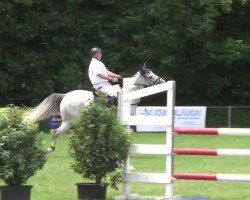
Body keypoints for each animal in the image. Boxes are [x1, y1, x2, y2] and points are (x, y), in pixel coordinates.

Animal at [26, 66, 165, 152]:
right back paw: (51, 148)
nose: (162, 81)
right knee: (57, 132)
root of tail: (65, 96)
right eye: (150, 76)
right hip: (69, 121)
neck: (127, 93)